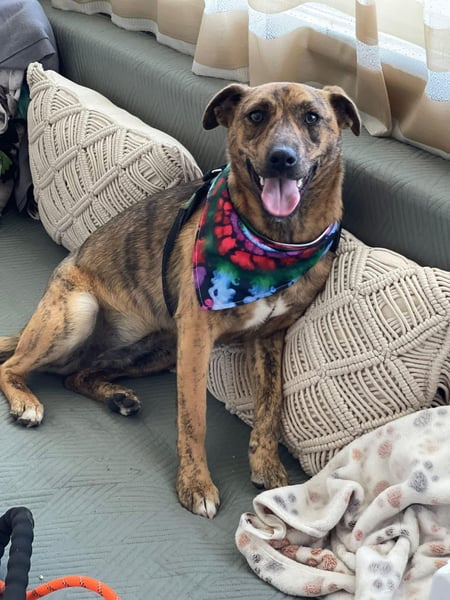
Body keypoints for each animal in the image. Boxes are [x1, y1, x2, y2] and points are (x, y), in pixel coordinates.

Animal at [0, 82, 360, 518]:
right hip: (78, 314)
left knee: (76, 374)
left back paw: (116, 396)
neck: (275, 245)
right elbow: (194, 417)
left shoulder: (270, 338)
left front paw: (266, 463)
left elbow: (270, 404)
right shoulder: (196, 339)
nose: (281, 159)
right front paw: (196, 484)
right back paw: (26, 401)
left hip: (159, 348)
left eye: (312, 117)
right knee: (11, 366)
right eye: (256, 115)